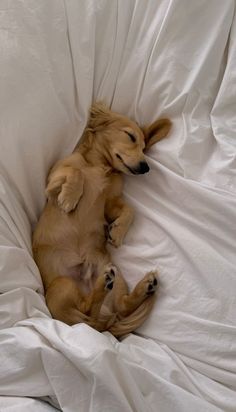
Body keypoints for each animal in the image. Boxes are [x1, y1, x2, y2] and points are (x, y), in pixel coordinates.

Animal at [32, 101, 171, 336]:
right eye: (130, 136)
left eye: (144, 148)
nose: (145, 167)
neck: (101, 167)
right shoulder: (54, 181)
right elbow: (75, 173)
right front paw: (70, 198)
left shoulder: (110, 203)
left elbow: (130, 210)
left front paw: (117, 232)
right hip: (62, 285)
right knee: (89, 311)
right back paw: (106, 287)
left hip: (114, 276)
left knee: (117, 307)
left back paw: (141, 286)